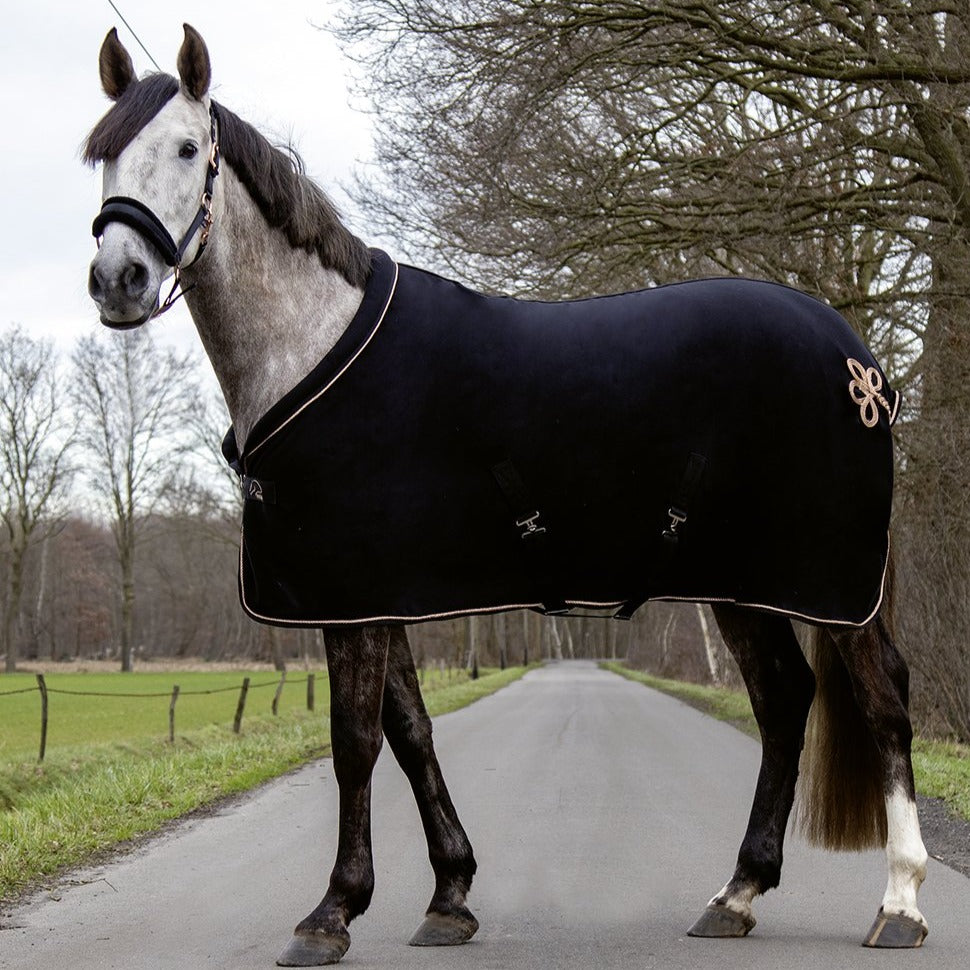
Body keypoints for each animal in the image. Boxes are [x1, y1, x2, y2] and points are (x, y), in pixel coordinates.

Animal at [85, 24, 929, 964]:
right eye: (103, 154)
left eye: (187, 149)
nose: (118, 279)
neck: (313, 346)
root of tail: (861, 366)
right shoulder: (377, 597)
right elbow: (411, 734)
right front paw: (449, 895)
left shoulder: (352, 602)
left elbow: (354, 745)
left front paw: (332, 912)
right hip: (743, 587)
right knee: (784, 703)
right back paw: (737, 894)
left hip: (831, 585)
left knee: (885, 702)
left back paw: (900, 904)